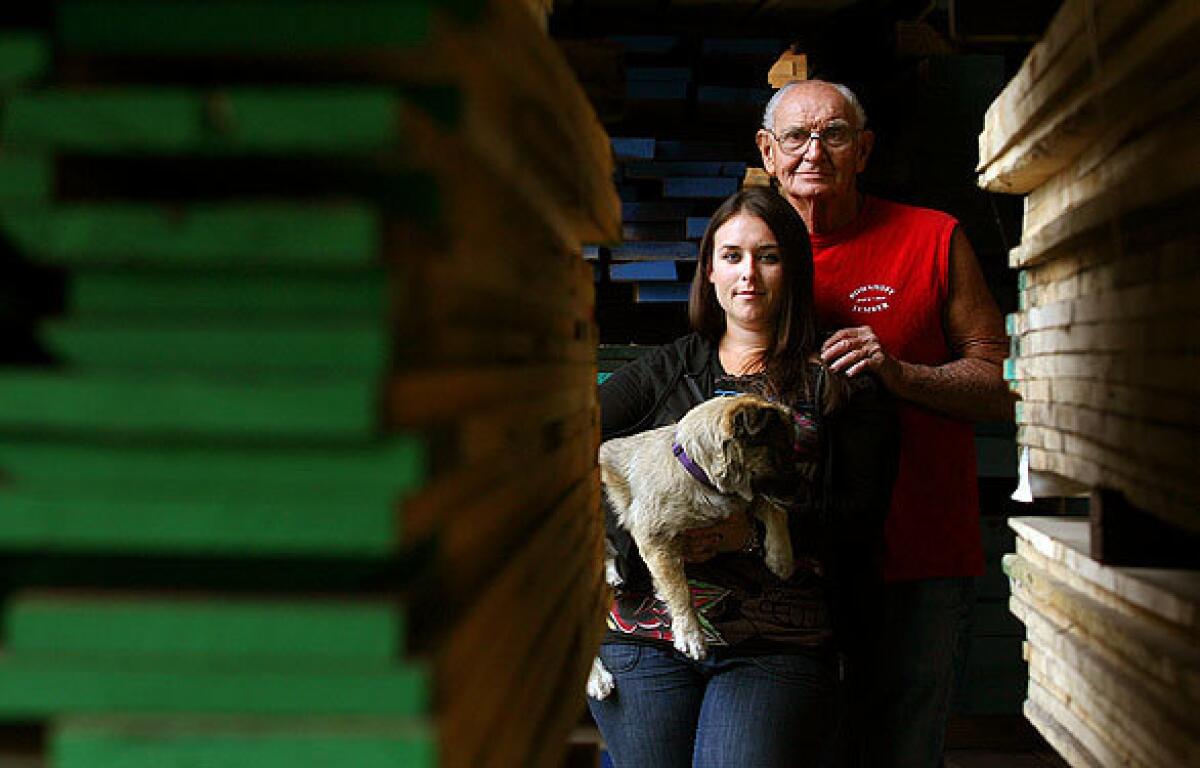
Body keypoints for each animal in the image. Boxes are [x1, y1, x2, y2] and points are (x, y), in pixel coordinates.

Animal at [588, 393, 801, 700]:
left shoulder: (741, 501)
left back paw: (610, 570)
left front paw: (781, 557)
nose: (803, 491)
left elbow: (775, 510)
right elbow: (681, 591)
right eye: (779, 453)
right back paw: (596, 678)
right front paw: (690, 633)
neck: (693, 468)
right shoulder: (654, 539)